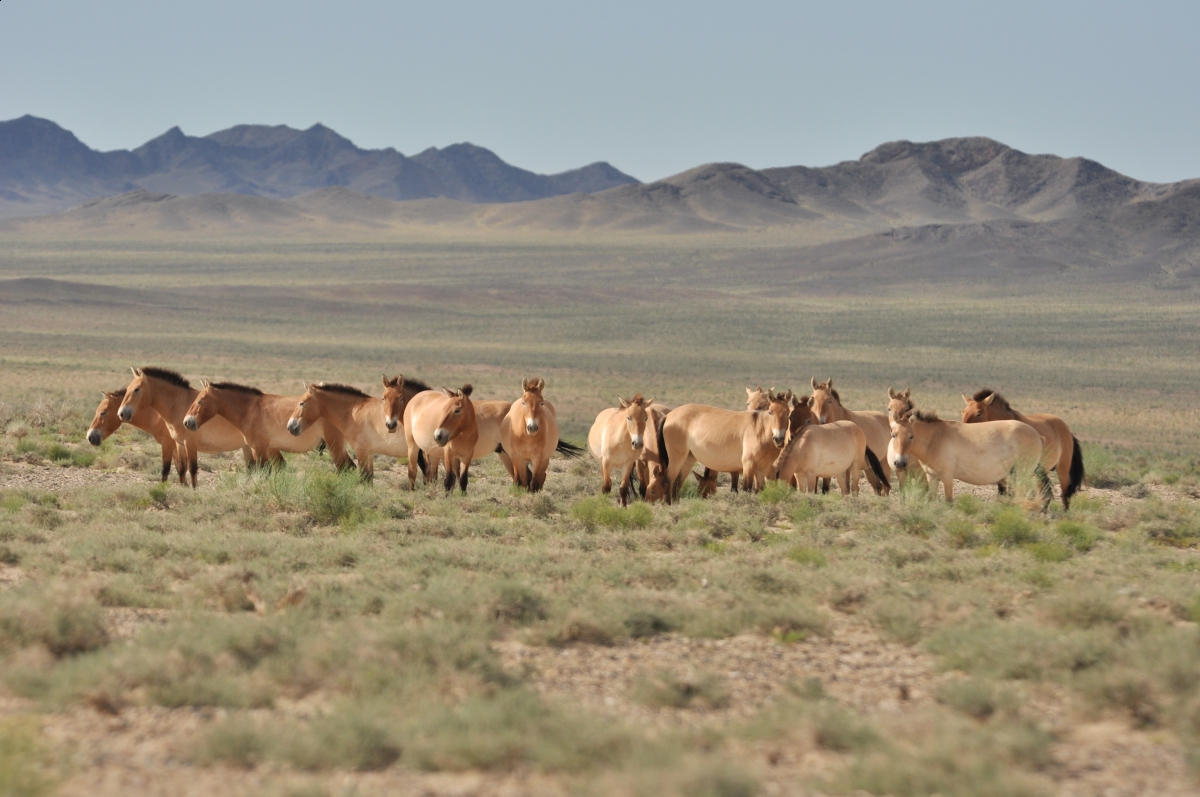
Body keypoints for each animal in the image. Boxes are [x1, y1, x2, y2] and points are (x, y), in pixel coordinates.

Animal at [91, 384, 250, 483]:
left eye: (103, 413)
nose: (90, 437)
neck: (158, 412)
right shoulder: (177, 445)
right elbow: (180, 468)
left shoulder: (169, 443)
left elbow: (172, 468)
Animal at [183, 380, 351, 469]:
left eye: (200, 401)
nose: (187, 422)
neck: (250, 409)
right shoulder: (270, 449)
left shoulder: (258, 448)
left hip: (335, 446)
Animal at [287, 376, 428, 480]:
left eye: (302, 403)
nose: (290, 426)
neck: (354, 412)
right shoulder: (369, 453)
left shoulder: (361, 452)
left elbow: (364, 478)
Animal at [659, 389, 792, 502]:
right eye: (770, 412)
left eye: (788, 413)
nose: (778, 439)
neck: (760, 430)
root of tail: (668, 415)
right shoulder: (748, 466)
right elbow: (745, 490)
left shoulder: (762, 470)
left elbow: (759, 491)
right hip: (676, 459)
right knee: (668, 480)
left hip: (688, 459)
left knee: (678, 482)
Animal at [889, 407, 1053, 507]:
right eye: (893, 434)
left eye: (911, 436)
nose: (899, 463)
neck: (936, 438)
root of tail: (1038, 435)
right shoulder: (932, 476)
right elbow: (930, 499)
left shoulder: (947, 476)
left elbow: (949, 502)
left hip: (1023, 473)